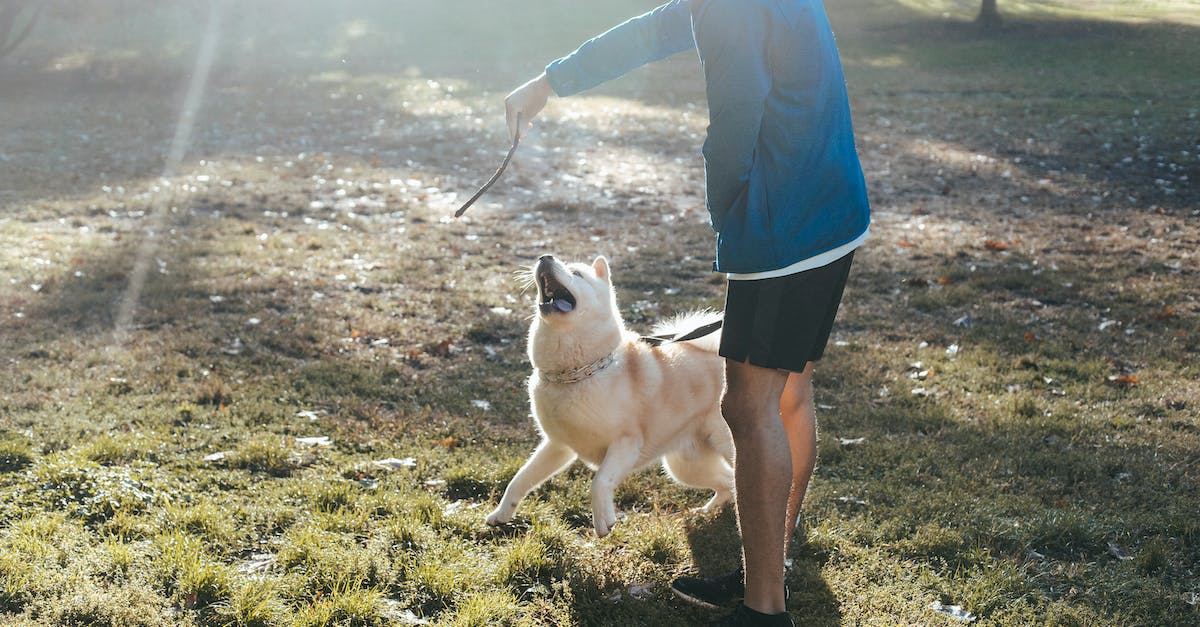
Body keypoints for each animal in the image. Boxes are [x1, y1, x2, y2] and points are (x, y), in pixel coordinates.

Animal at [484, 251, 729, 533]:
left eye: (577, 273)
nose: (545, 257)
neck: (576, 374)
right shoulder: (558, 446)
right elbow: (520, 479)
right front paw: (501, 513)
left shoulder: (627, 442)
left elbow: (600, 481)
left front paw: (603, 519)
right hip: (686, 467)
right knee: (728, 482)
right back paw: (710, 511)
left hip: (724, 446)